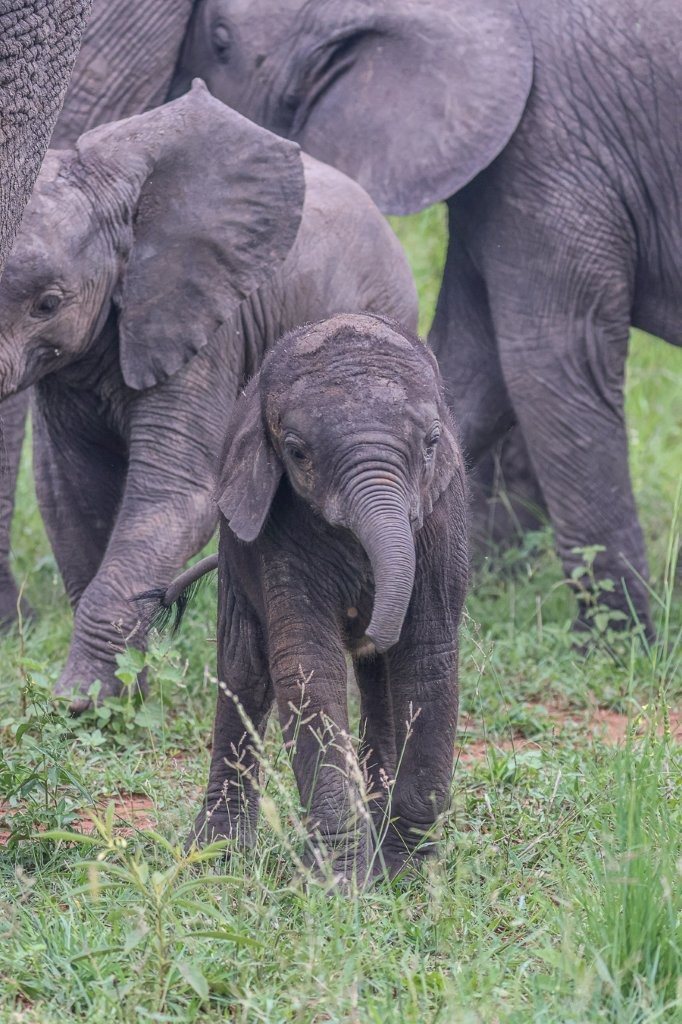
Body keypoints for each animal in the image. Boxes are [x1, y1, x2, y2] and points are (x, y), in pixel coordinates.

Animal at [0, 83, 417, 710]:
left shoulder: (209, 329)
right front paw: (119, 696)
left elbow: (175, 498)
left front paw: (81, 701)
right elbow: (72, 497)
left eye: (47, 304)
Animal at [148, 313, 468, 884]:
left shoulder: (440, 515)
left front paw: (404, 875)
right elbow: (306, 668)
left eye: (432, 442)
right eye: (297, 453)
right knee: (244, 673)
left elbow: (426, 659)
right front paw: (341, 883)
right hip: (235, 552)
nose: (368, 622)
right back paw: (216, 855)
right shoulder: (276, 531)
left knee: (378, 681)